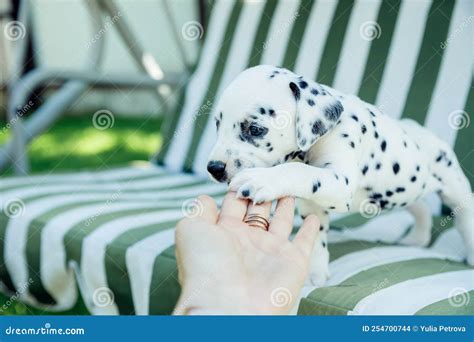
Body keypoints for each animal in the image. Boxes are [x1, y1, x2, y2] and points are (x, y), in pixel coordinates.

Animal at [207, 65, 474, 286]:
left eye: (255, 129)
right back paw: (416, 239)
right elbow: (315, 233)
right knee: (421, 208)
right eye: (217, 124)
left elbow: (298, 171)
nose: (214, 168)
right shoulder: (312, 202)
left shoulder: (340, 182)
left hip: (453, 186)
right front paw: (315, 272)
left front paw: (262, 179)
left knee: (464, 213)